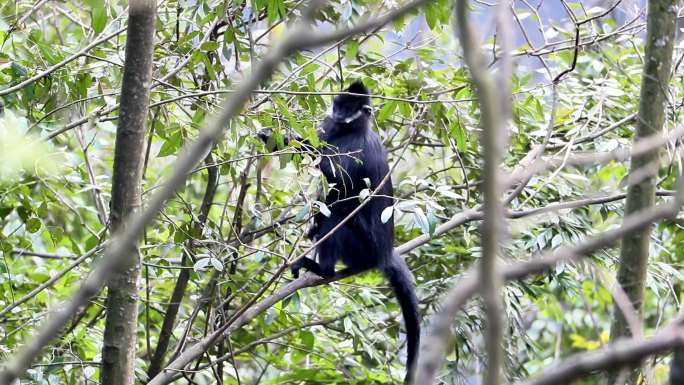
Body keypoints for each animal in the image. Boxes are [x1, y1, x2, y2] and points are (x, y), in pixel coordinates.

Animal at [264, 81, 422, 380]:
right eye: (339, 105)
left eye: (350, 109)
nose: (338, 113)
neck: (348, 131)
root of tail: (384, 252)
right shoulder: (329, 127)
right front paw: (276, 137)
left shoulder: (357, 148)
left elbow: (336, 179)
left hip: (361, 248)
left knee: (338, 212)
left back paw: (322, 269)